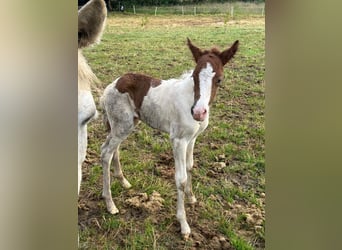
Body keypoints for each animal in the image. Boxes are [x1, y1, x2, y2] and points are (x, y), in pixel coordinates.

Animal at [99, 39, 238, 238]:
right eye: (194, 76)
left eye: (219, 79)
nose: (198, 112)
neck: (190, 100)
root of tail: (111, 86)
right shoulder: (178, 140)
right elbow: (180, 178)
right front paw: (184, 224)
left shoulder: (192, 139)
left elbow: (190, 167)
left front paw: (191, 197)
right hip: (122, 125)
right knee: (105, 153)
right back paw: (110, 204)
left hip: (124, 125)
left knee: (113, 149)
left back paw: (123, 182)